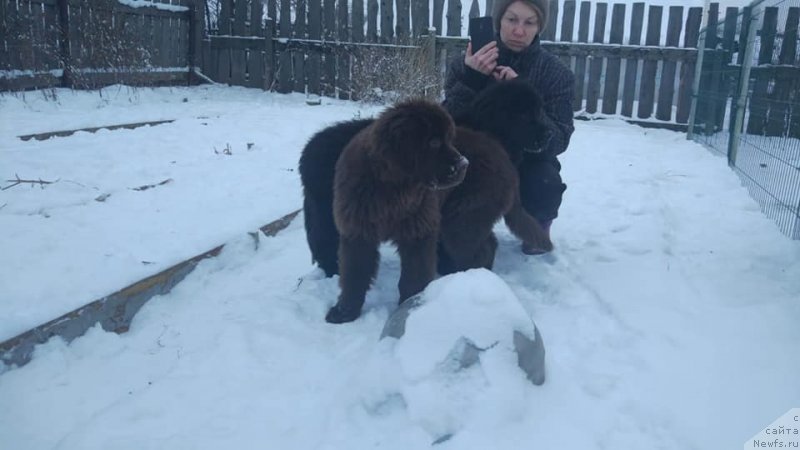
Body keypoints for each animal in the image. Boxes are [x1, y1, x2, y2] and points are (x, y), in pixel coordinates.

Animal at [328, 100, 472, 324]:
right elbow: (354, 275)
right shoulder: (358, 232)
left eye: (449, 139)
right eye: (434, 143)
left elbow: (414, 275)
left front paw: (410, 306)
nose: (464, 164)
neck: (392, 190)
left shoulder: (418, 233)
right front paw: (345, 312)